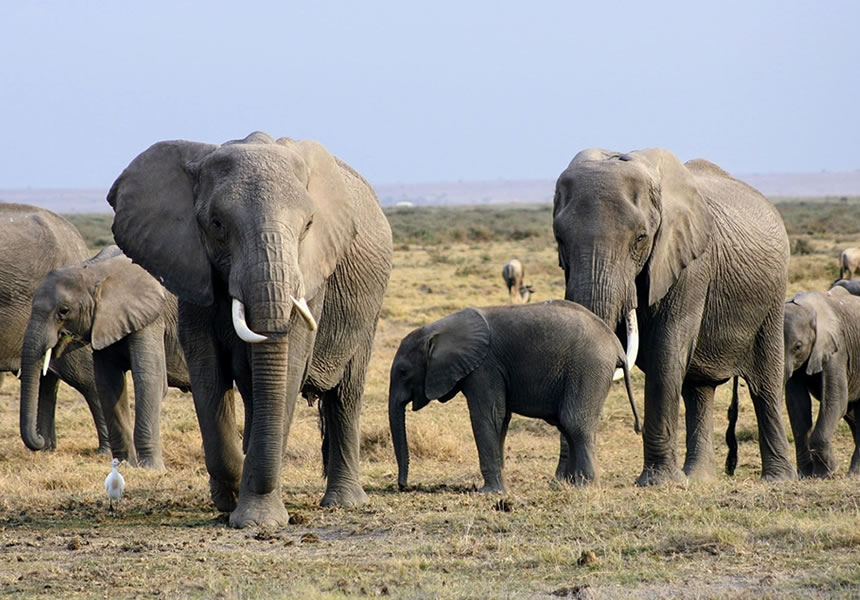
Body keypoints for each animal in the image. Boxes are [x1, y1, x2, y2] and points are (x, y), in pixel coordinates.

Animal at [20, 245, 190, 469]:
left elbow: (149, 379)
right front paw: (124, 465)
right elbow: (108, 383)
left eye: (64, 311)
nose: (39, 440)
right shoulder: (103, 324)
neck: (94, 270)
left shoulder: (151, 317)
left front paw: (150, 469)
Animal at [107, 131, 393, 527]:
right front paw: (231, 497)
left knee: (346, 395)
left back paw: (343, 503)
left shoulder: (311, 273)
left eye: (308, 225)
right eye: (216, 224)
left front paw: (258, 519)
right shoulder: (191, 266)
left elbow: (289, 365)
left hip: (369, 310)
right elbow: (207, 368)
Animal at [389, 300, 640, 492]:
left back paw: (584, 487)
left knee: (574, 422)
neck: (438, 329)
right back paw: (571, 485)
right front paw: (499, 488)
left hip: (588, 369)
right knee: (568, 426)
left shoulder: (484, 368)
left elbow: (487, 417)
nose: (403, 486)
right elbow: (501, 420)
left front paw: (489, 492)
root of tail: (616, 345)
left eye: (403, 372)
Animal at [552, 148, 795, 485]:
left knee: (765, 386)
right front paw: (566, 481)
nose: (571, 478)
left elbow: (666, 354)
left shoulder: (690, 263)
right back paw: (700, 479)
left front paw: (658, 483)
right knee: (698, 390)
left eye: (641, 239)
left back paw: (778, 480)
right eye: (560, 239)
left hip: (772, 299)